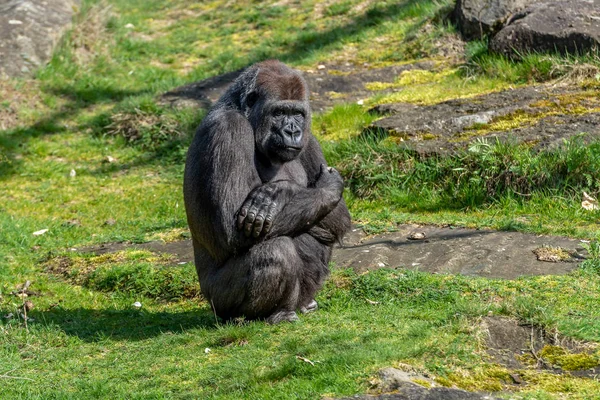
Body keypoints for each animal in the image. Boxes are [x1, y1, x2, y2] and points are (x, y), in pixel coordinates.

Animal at [183, 59, 352, 324]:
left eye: (297, 114)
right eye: (279, 113)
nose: (292, 132)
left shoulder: (310, 139)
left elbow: (338, 215)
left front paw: (280, 191)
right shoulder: (228, 129)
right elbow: (231, 226)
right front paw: (288, 190)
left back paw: (303, 304)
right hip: (217, 303)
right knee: (276, 250)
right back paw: (272, 314)